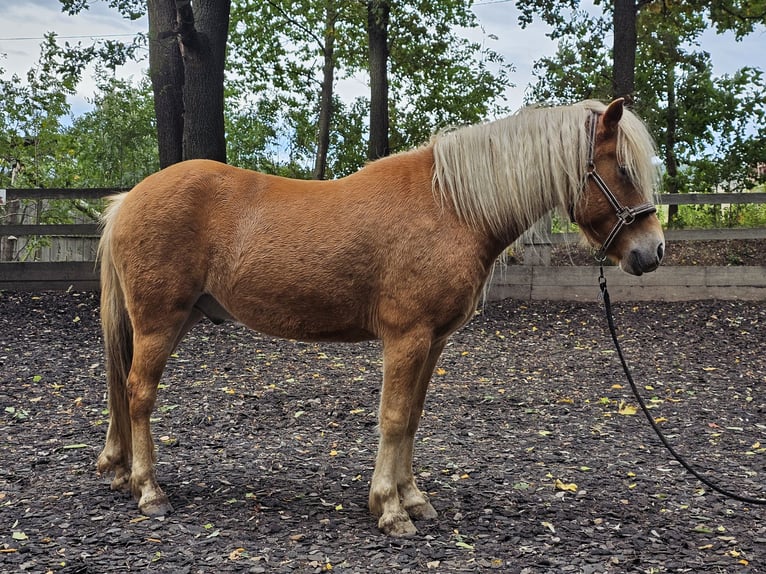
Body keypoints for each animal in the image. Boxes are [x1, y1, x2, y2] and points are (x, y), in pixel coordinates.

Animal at [96, 97, 664, 536]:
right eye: (623, 170)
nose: (651, 252)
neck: (449, 207)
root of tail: (129, 199)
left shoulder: (433, 341)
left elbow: (411, 418)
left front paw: (413, 499)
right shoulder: (406, 338)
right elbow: (392, 418)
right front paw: (390, 510)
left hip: (175, 320)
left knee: (125, 391)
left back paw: (121, 473)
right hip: (159, 323)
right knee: (139, 394)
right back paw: (149, 491)